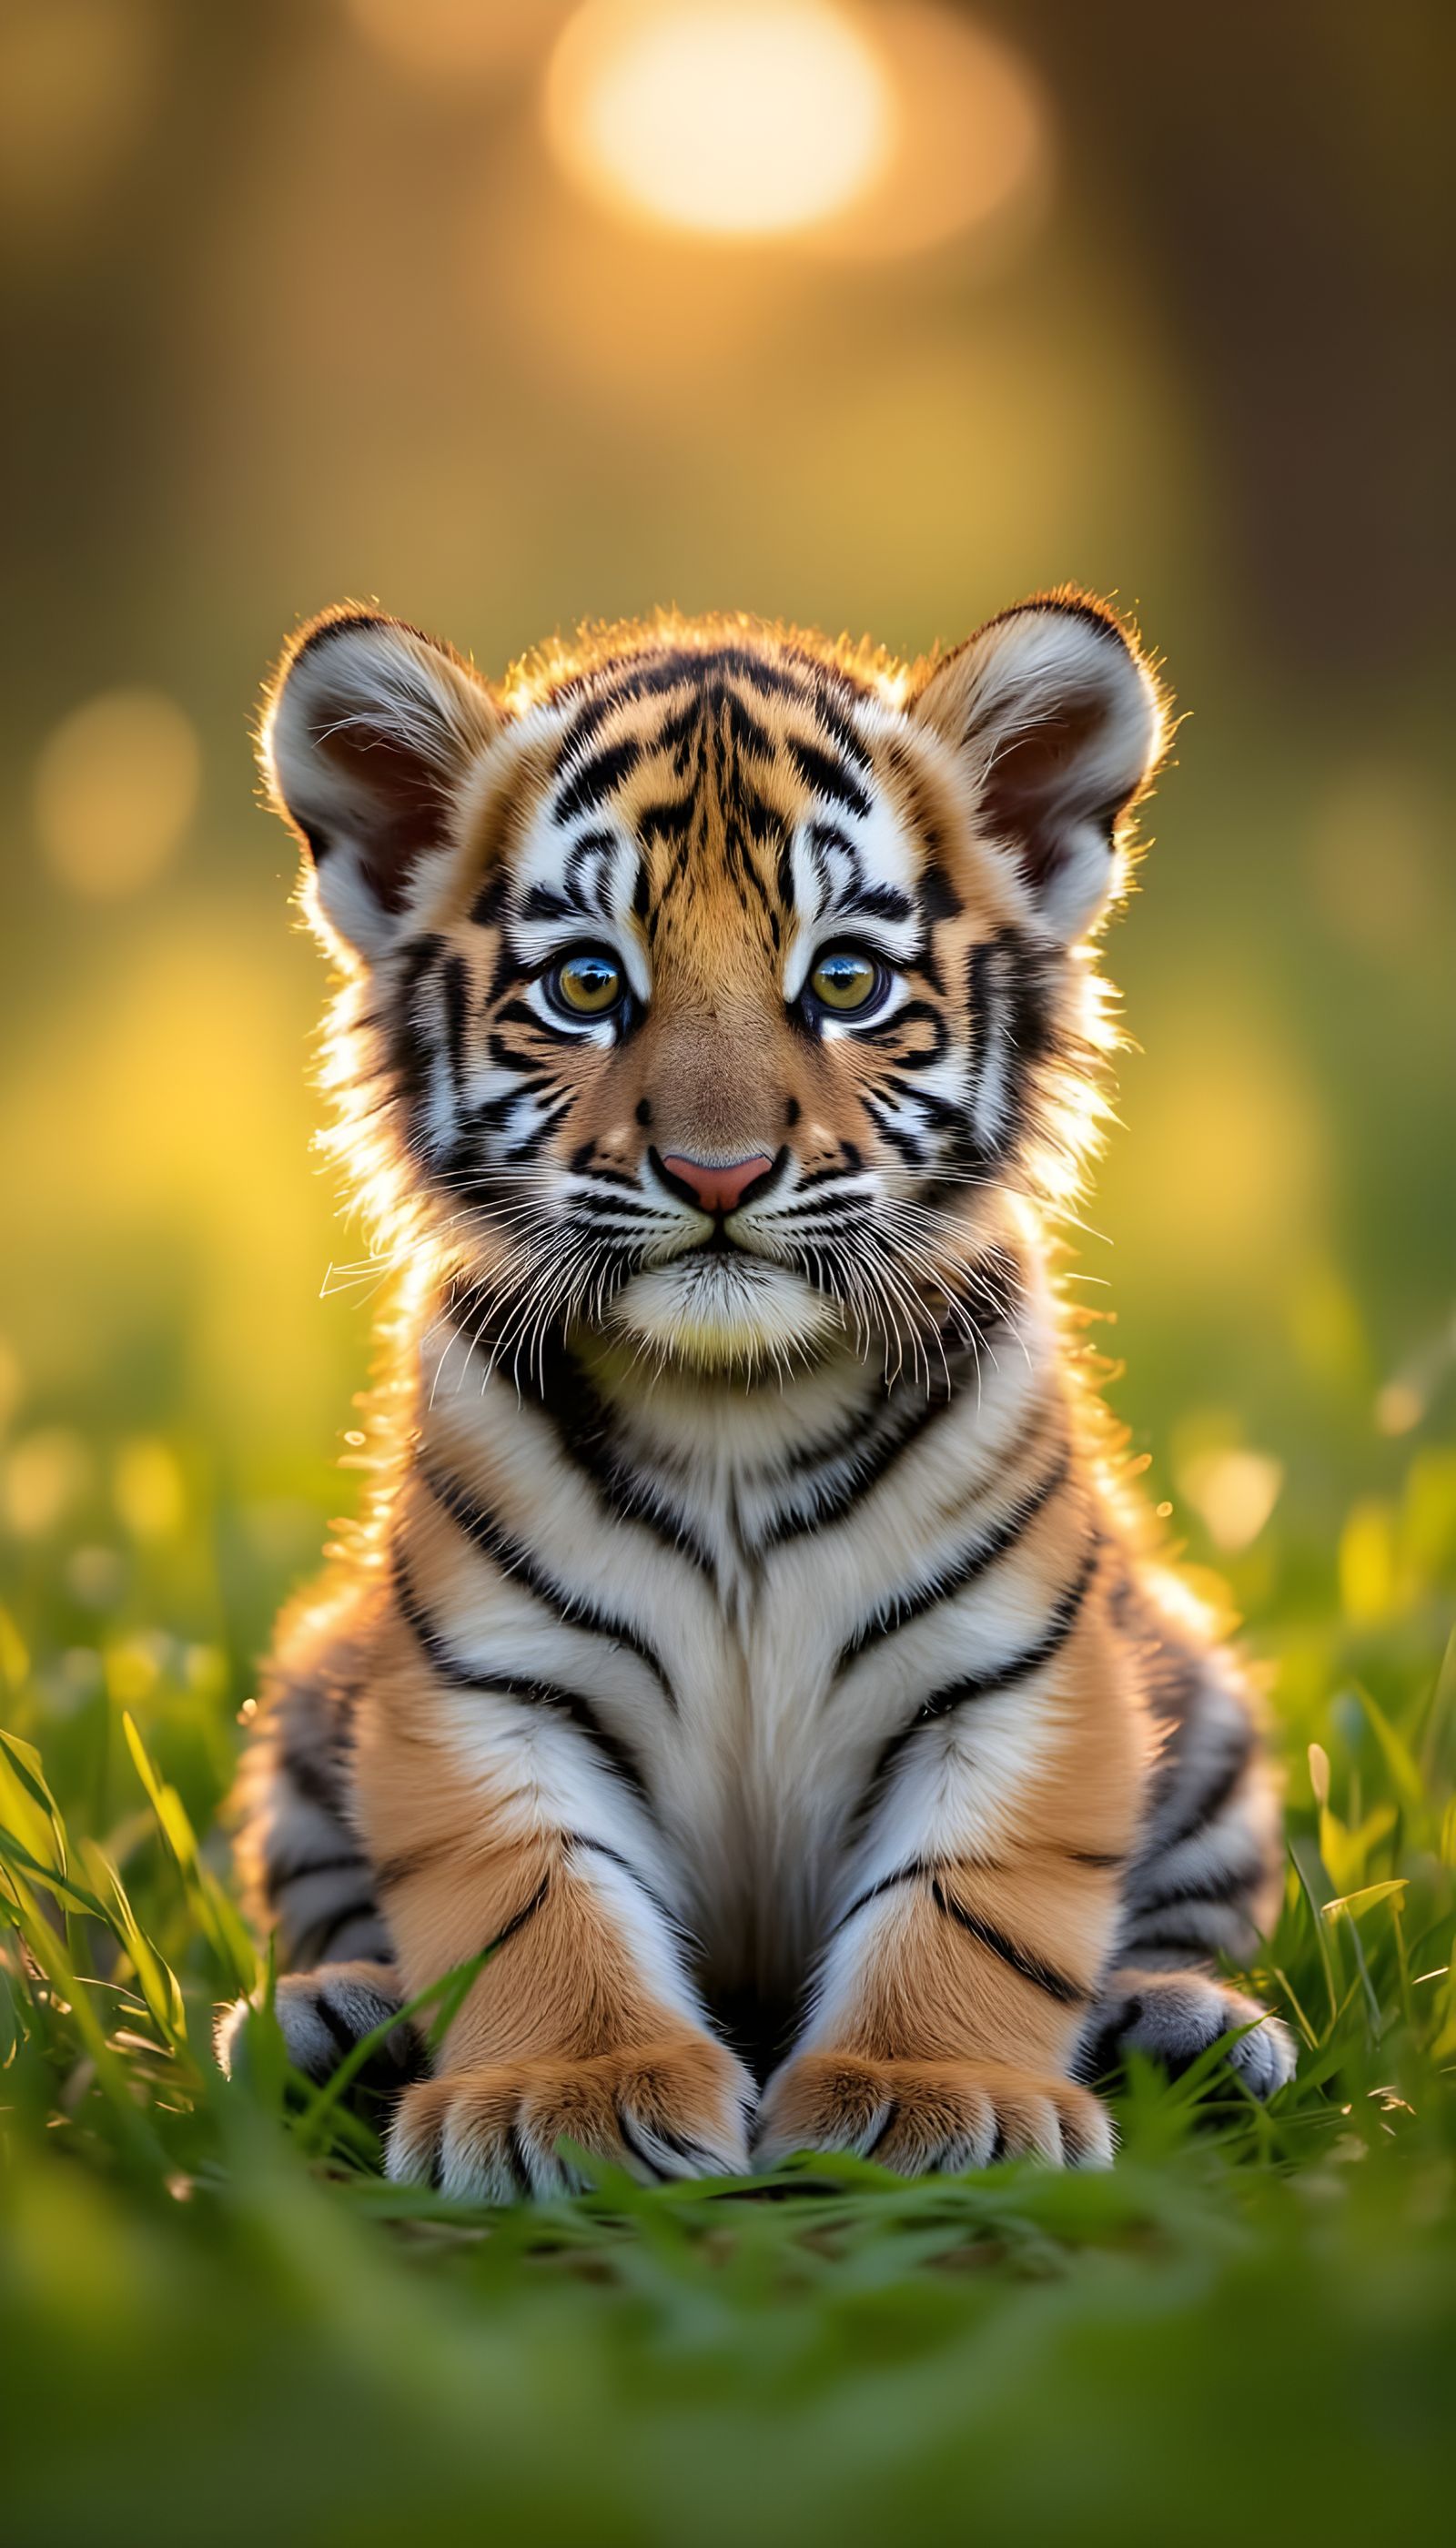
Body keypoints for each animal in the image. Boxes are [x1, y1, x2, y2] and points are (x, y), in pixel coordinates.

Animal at [216, 591, 1295, 2198]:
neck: (733, 1413)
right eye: (587, 986)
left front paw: (930, 2096)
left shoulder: (1018, 1676)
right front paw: (571, 2098)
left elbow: (974, 1902)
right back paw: (331, 2019)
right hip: (310, 1692)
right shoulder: (482, 1683)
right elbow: (529, 1897)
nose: (717, 1172)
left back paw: (1188, 2027)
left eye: (845, 982)